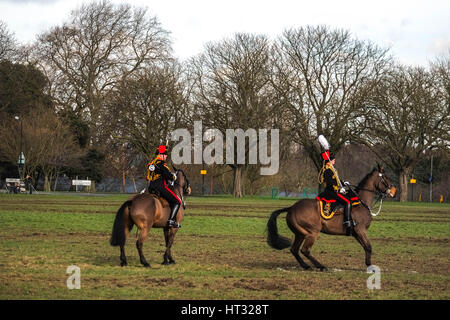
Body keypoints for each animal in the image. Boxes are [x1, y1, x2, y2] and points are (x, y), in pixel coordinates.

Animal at [266, 164, 396, 272]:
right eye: (385, 178)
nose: (393, 191)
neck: (361, 202)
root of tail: (292, 208)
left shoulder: (356, 233)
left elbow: (366, 247)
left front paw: (369, 264)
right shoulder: (360, 230)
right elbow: (368, 247)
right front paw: (371, 266)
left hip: (300, 234)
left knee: (294, 250)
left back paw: (306, 266)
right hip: (312, 232)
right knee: (305, 250)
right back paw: (321, 266)